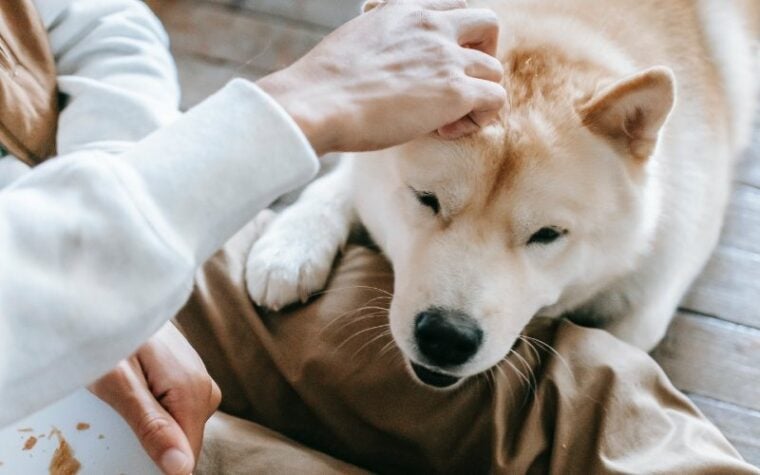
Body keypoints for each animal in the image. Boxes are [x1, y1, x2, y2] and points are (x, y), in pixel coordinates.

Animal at [246, 0, 756, 388]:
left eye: (548, 235)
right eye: (425, 199)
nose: (447, 337)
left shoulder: (650, 298)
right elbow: (339, 183)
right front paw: (291, 247)